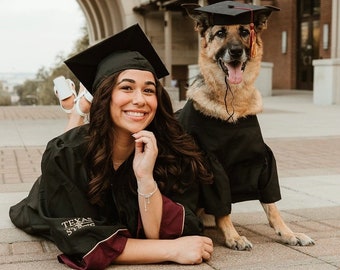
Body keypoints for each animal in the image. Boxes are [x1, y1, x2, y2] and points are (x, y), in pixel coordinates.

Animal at [178, 2, 316, 251]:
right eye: (220, 33)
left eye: (244, 31)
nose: (235, 51)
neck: (233, 103)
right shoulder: (211, 164)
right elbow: (222, 206)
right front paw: (233, 236)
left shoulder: (261, 160)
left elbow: (272, 205)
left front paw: (289, 233)